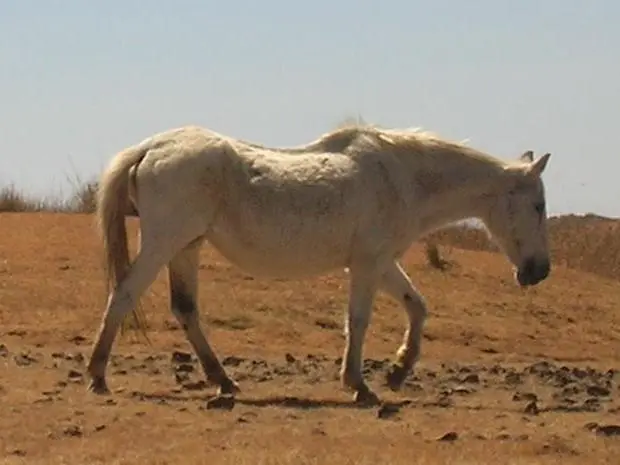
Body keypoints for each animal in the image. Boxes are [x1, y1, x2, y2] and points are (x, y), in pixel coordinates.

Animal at [83, 122, 552, 402]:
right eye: (538, 205)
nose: (539, 271)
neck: (402, 178)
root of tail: (150, 147)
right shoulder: (367, 265)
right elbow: (358, 320)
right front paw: (360, 384)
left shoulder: (380, 263)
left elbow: (417, 307)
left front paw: (398, 371)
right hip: (164, 244)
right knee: (123, 295)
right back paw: (98, 375)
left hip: (186, 248)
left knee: (185, 310)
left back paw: (223, 380)